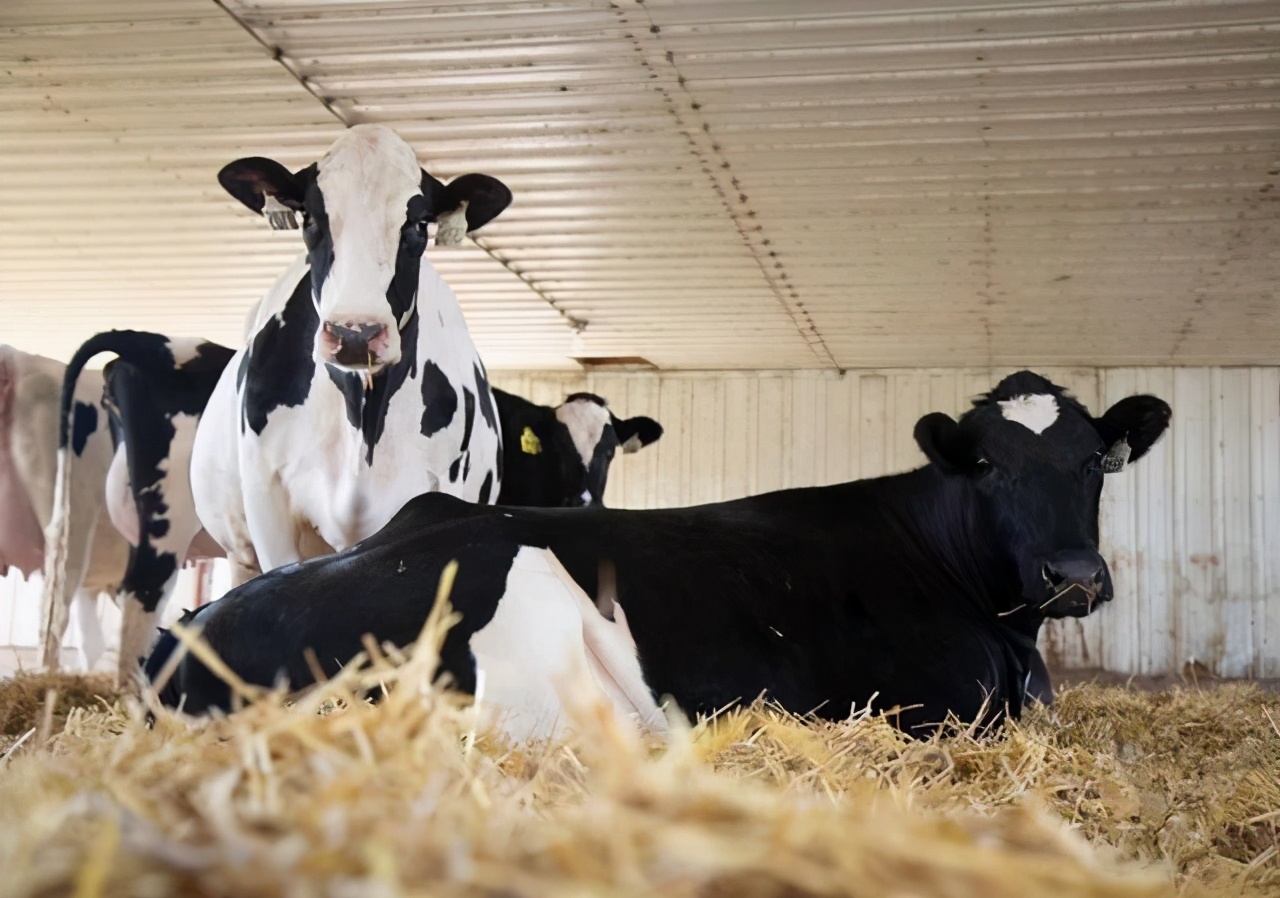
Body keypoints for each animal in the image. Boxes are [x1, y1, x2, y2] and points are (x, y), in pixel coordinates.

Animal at [189, 124, 509, 603]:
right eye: (310, 219)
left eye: (419, 224)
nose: (355, 333)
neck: (363, 419)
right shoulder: (267, 503)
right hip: (239, 549)